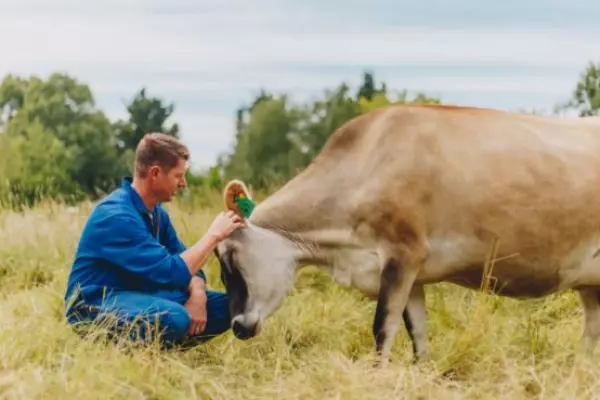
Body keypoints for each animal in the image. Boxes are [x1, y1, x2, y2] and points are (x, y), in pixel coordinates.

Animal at [213, 104, 600, 364]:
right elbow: (417, 331)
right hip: (591, 282)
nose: (238, 326)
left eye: (231, 255)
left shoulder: (403, 254)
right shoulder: (413, 275)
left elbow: (382, 329)